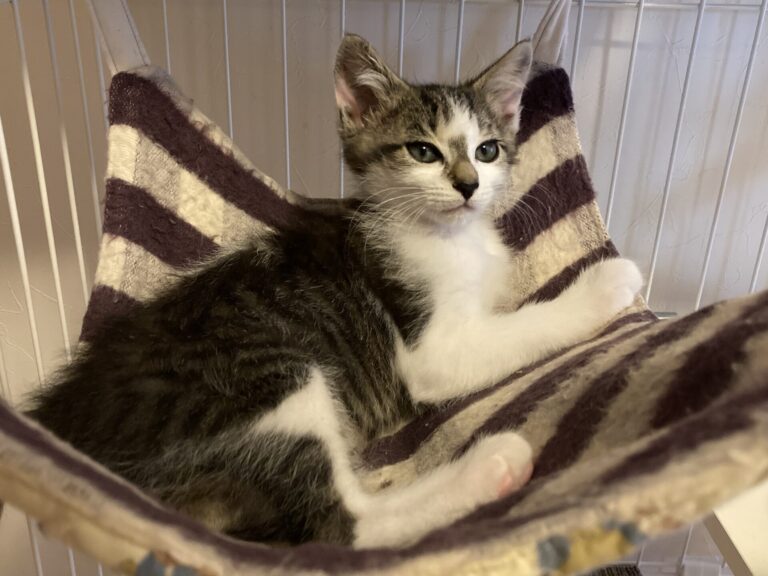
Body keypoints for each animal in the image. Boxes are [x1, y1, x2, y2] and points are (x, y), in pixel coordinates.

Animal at [27, 35, 643, 548]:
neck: (441, 233)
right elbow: (522, 325)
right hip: (268, 378)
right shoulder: (429, 352)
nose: (468, 186)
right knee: (340, 526)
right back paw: (493, 464)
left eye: (487, 150)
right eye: (423, 152)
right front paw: (606, 284)